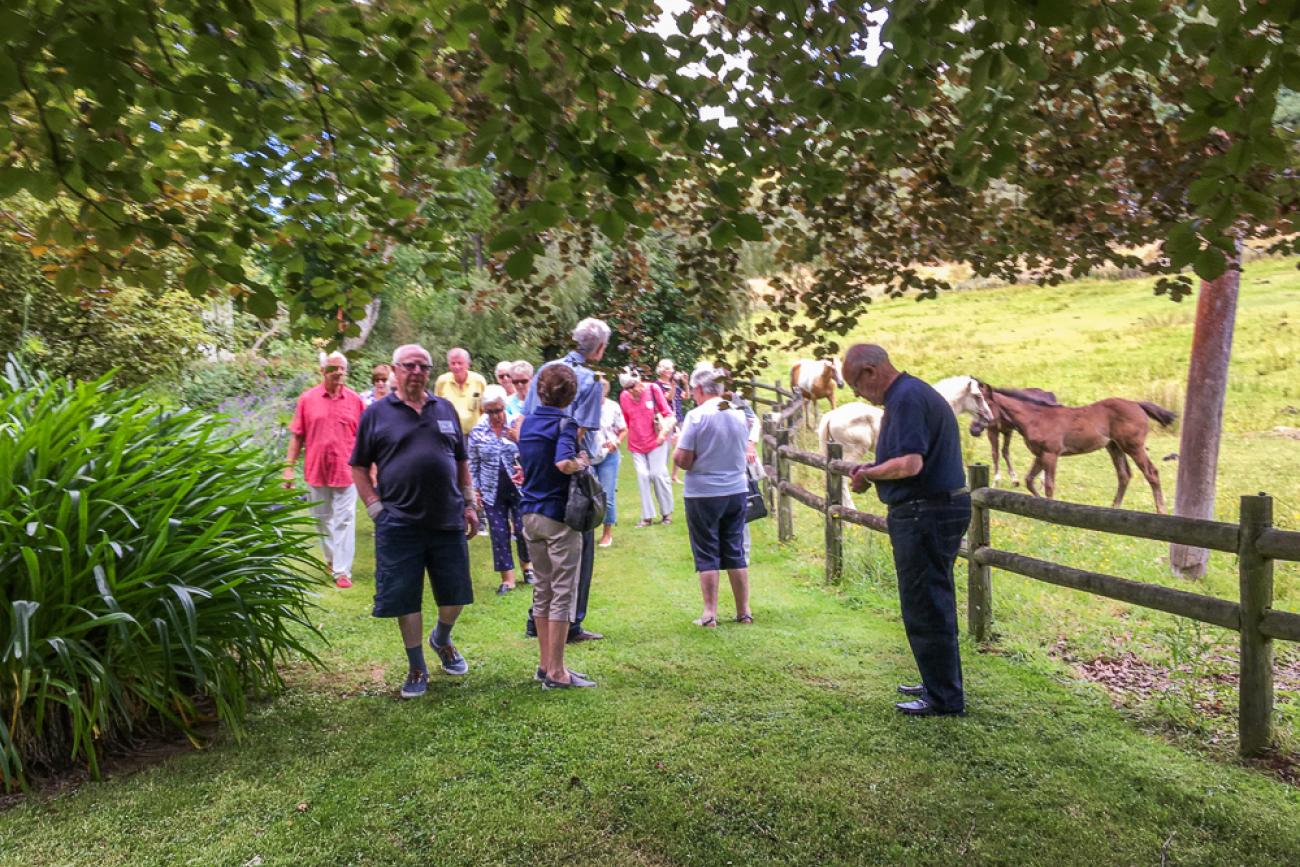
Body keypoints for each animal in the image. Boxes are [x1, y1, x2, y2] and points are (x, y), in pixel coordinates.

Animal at [977, 382, 1180, 512]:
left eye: (985, 404)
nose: (975, 428)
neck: (1035, 417)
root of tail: (1137, 404)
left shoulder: (1051, 454)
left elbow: (1049, 484)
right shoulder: (1040, 455)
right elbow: (1029, 480)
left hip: (1133, 446)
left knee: (1151, 473)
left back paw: (1161, 511)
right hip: (1114, 447)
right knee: (1124, 475)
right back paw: (1114, 508)